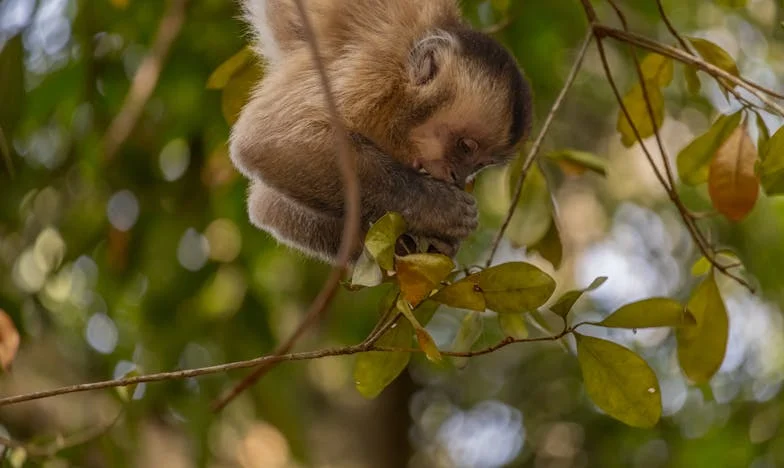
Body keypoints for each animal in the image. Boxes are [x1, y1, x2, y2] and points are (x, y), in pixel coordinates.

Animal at [228, 0, 532, 264]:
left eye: (480, 165)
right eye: (466, 146)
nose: (458, 176)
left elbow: (265, 205)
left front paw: (426, 242)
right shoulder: (377, 64)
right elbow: (266, 139)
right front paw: (439, 209)